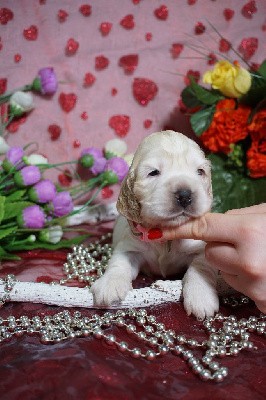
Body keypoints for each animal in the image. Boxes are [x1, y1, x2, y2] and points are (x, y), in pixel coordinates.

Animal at [91, 131, 218, 318]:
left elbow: (200, 267)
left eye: (200, 171)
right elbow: (118, 263)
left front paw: (201, 297)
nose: (185, 195)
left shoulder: (200, 249)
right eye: (153, 172)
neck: (165, 234)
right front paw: (109, 284)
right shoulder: (129, 246)